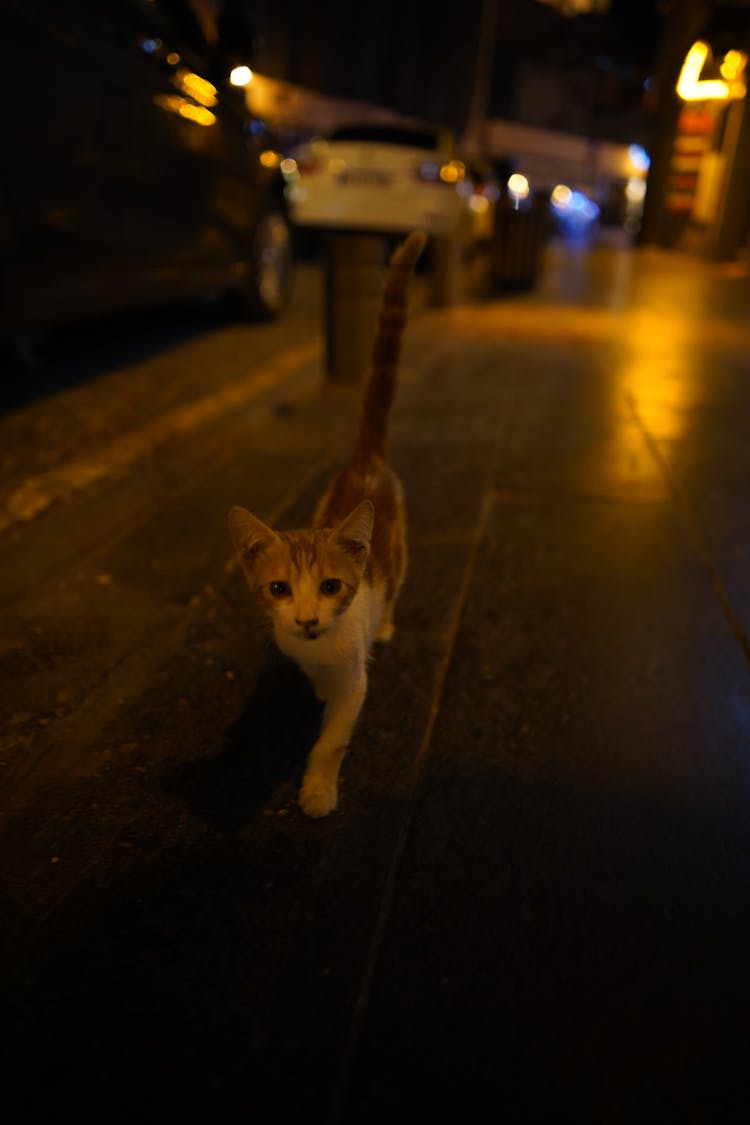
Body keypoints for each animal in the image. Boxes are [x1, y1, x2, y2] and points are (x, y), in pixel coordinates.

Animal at [229, 230, 425, 819]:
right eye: (279, 589)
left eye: (332, 587)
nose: (309, 619)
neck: (319, 651)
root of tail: (365, 462)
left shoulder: (354, 684)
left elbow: (331, 739)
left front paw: (317, 790)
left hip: (399, 549)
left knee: (397, 582)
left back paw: (386, 622)